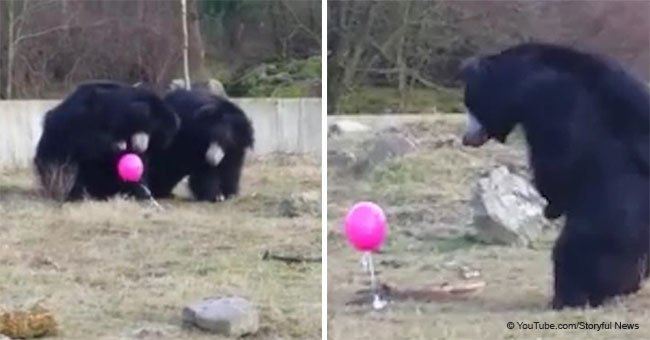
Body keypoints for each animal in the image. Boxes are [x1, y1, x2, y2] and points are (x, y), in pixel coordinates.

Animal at [36, 80, 181, 201]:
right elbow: (83, 141)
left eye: (156, 137)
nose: (141, 146)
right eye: (151, 127)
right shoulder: (84, 117)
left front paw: (139, 188)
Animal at [458, 42, 644, 308]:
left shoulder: (552, 104)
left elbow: (556, 162)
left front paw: (551, 206)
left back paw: (571, 296)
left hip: (612, 216)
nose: (467, 138)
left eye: (470, 104)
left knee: (578, 251)